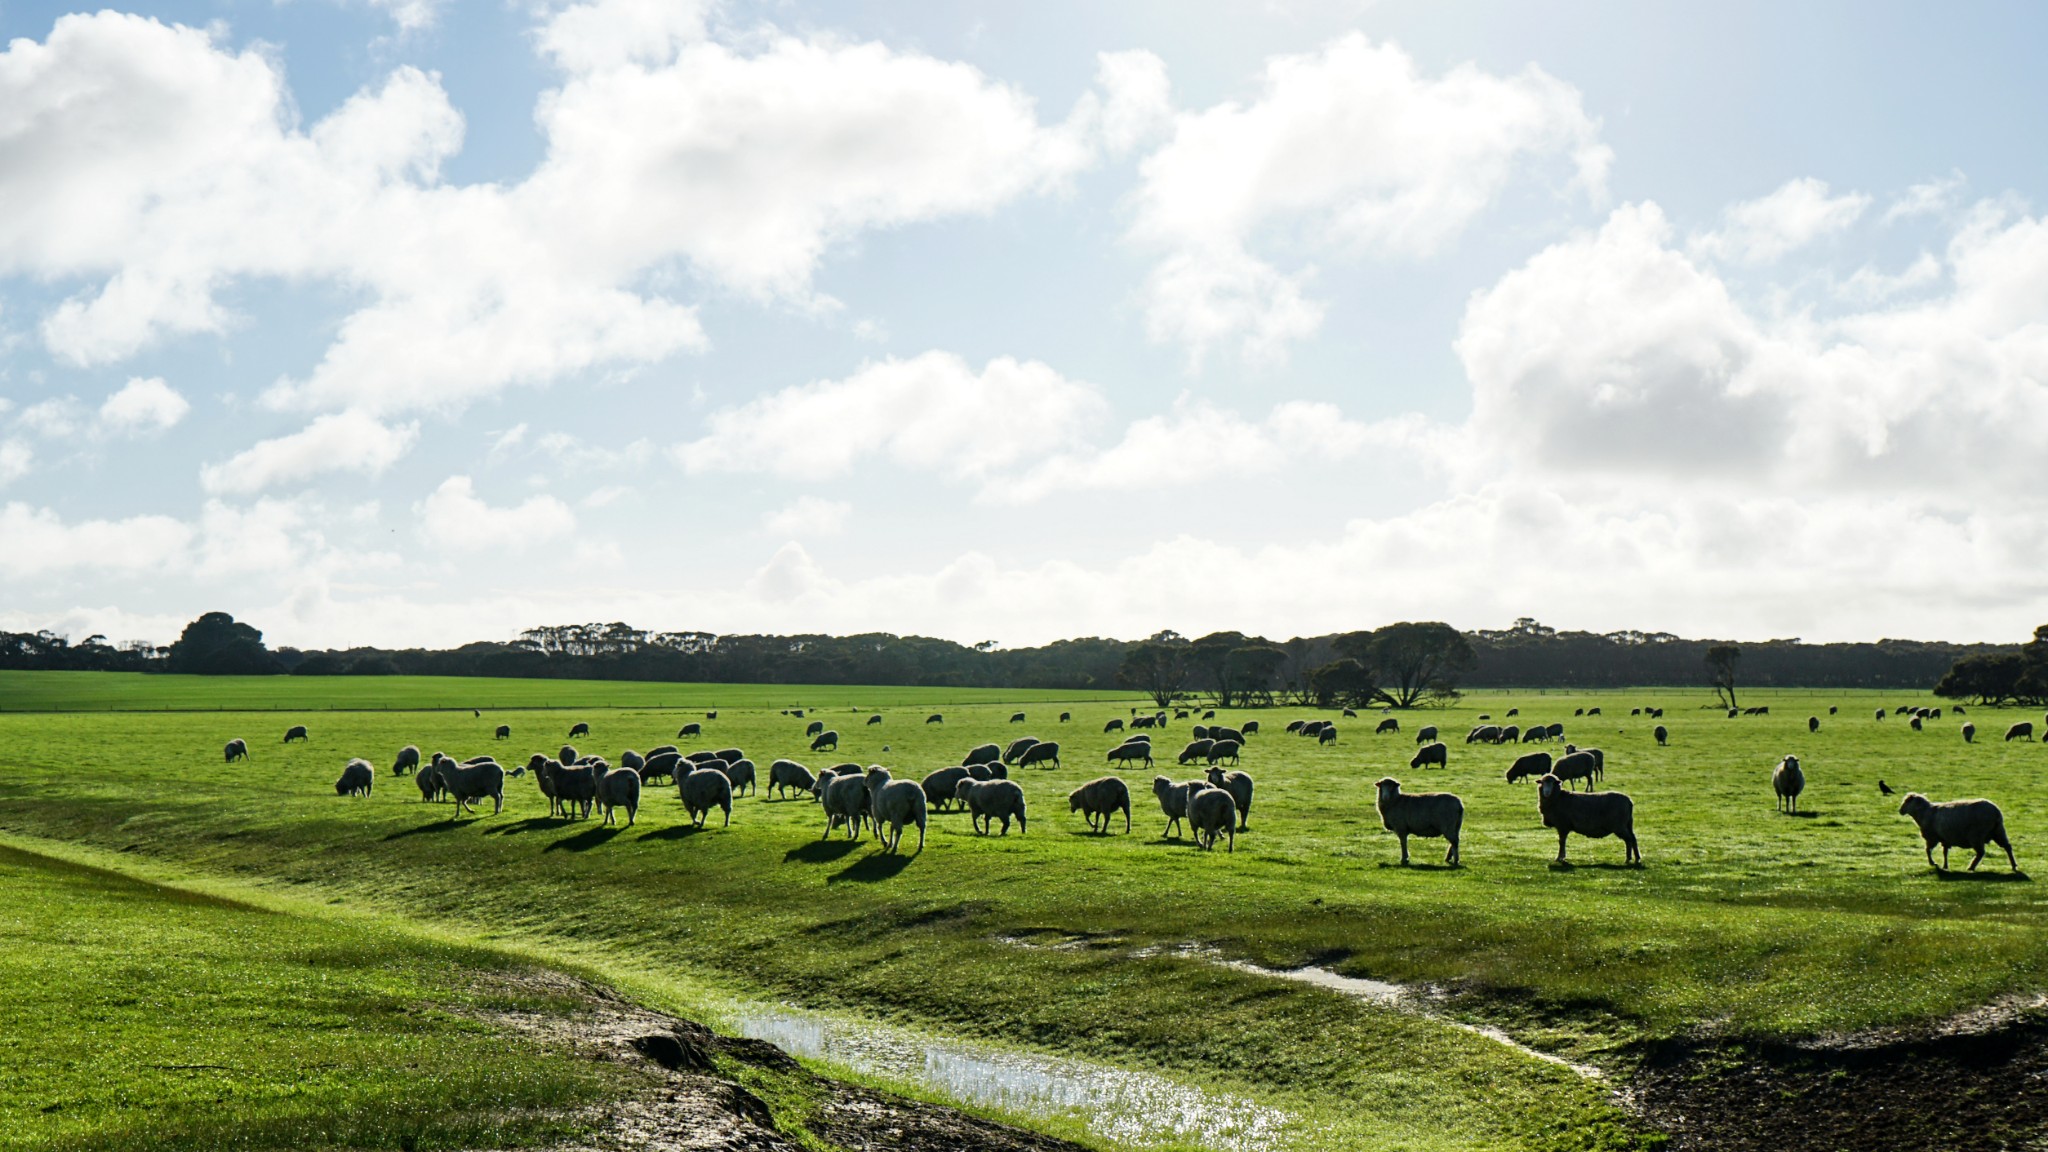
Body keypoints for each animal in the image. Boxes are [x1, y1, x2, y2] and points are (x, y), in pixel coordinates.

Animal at [1892, 787, 2023, 869]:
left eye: (1906, 801)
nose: (1900, 811)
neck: (1924, 812)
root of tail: (1996, 812)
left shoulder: (1932, 837)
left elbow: (1927, 850)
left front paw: (1932, 863)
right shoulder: (1944, 838)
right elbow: (1945, 852)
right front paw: (1945, 866)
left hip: (1976, 835)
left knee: (1981, 852)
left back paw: (1971, 867)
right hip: (1998, 831)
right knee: (2007, 847)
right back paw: (2013, 865)